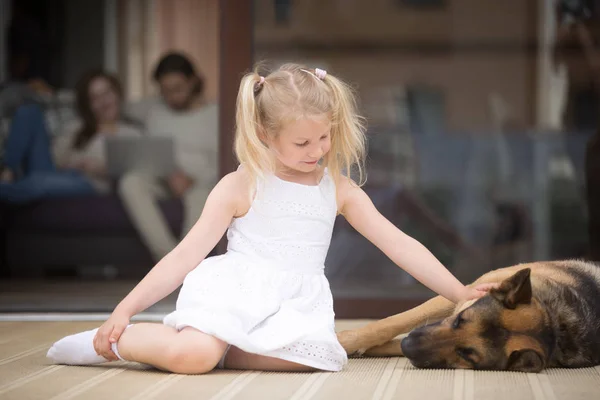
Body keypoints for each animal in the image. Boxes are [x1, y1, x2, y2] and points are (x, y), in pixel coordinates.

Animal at [338, 260, 600, 372]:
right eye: (459, 320)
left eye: (466, 354)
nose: (408, 345)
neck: (557, 324)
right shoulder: (465, 293)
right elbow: (389, 324)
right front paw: (345, 341)